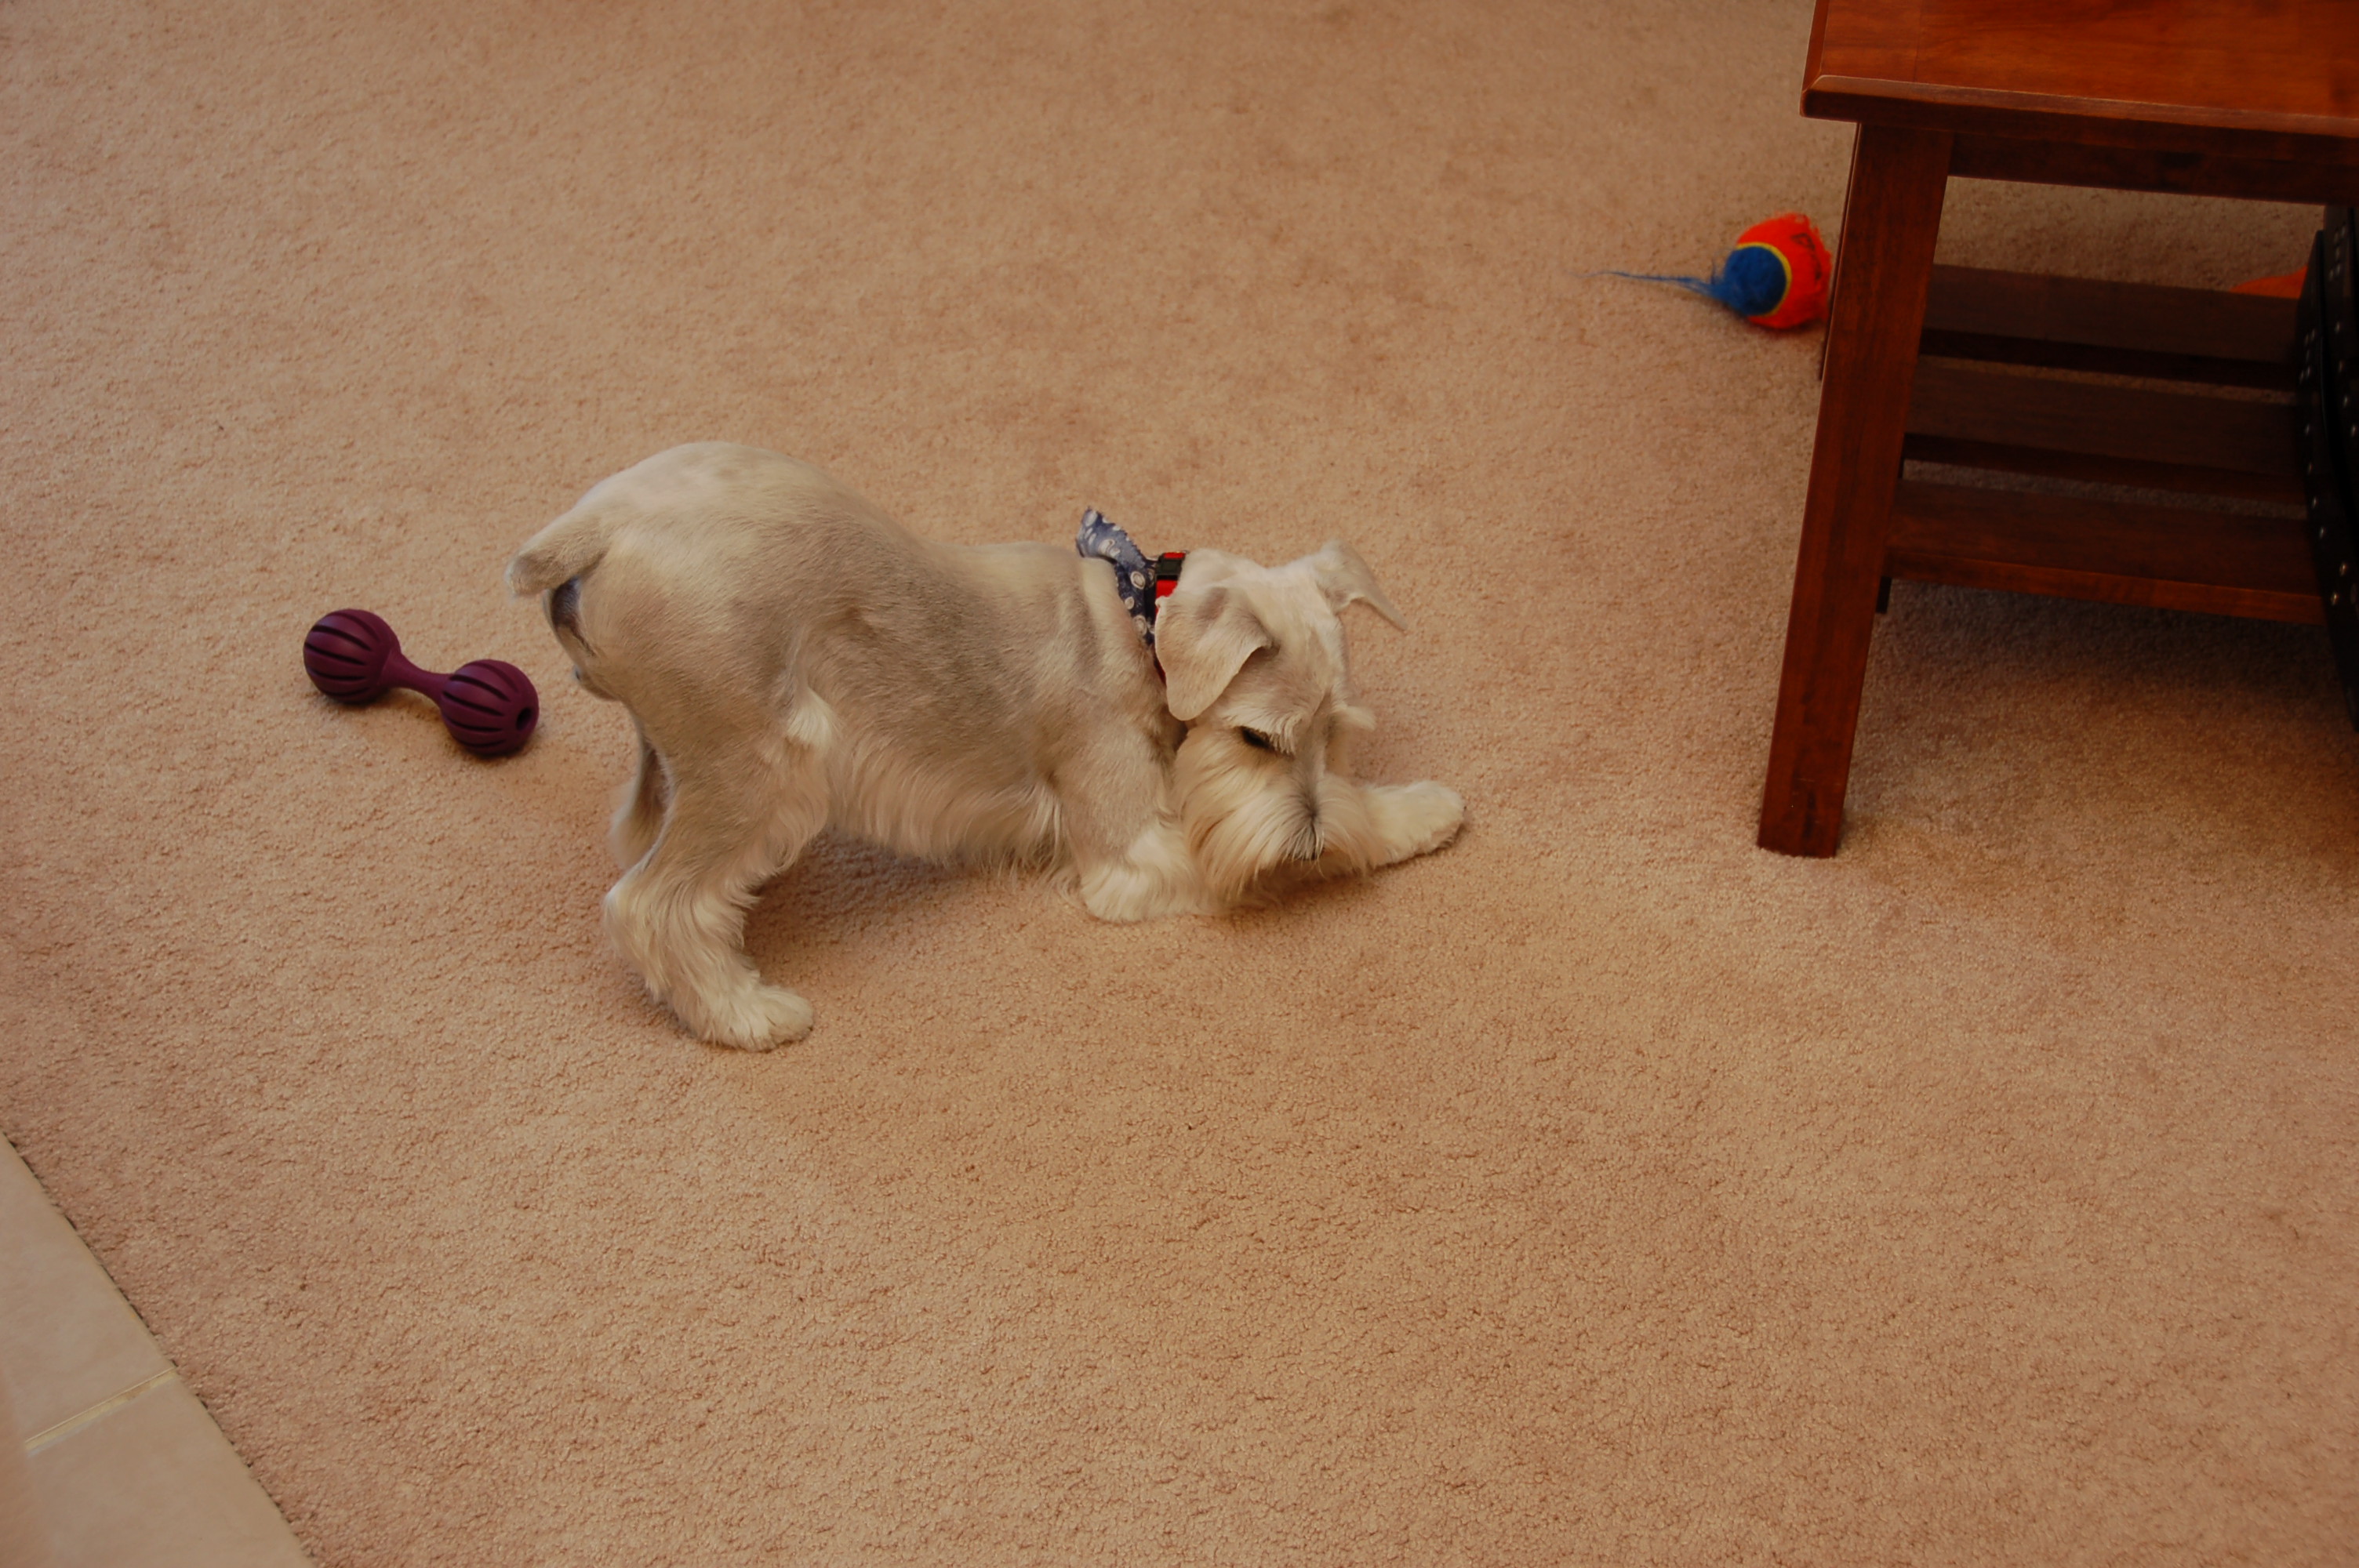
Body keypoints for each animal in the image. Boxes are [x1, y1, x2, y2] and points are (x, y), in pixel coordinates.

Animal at [507, 443, 1463, 1048]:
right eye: (1256, 737)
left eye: (1337, 733)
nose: (1307, 832)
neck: (1136, 622)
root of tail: (593, 527)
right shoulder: (1134, 854)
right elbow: (1284, 855)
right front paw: (1415, 813)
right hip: (765, 768)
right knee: (649, 902)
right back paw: (744, 1014)